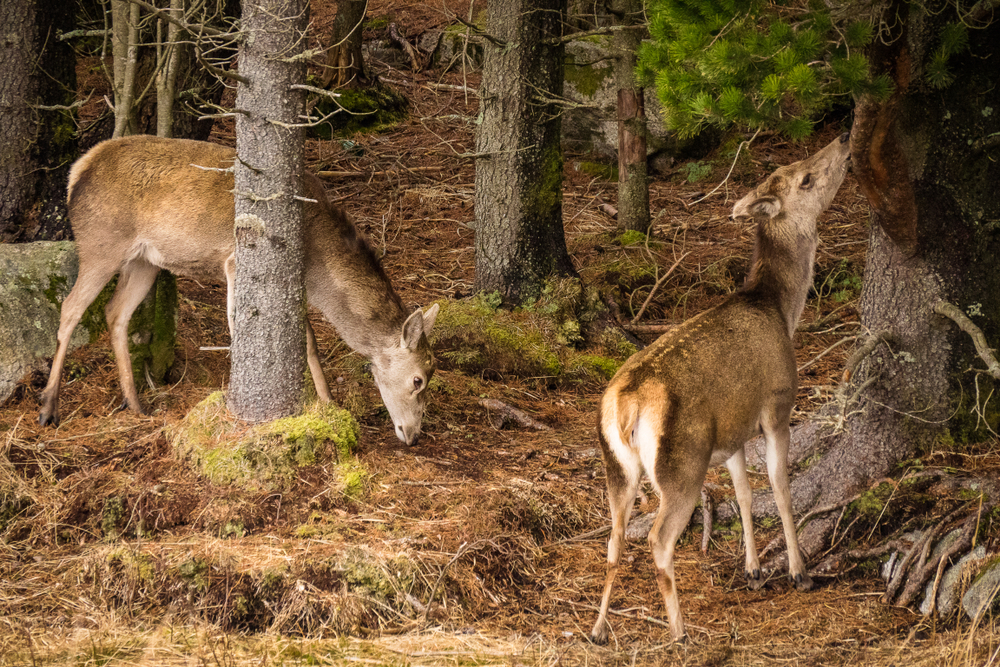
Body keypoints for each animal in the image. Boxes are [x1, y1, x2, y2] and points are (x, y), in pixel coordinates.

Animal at [37, 135, 439, 446]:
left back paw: (135, 403)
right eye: (418, 379)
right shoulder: (233, 262)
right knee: (70, 308)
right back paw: (48, 407)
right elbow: (239, 328)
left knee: (115, 312)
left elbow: (309, 341)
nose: (413, 435)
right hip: (101, 241)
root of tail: (77, 170)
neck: (316, 258)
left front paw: (328, 404)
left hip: (145, 261)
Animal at [589, 132, 852, 644]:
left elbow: (744, 493)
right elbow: (780, 487)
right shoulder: (776, 405)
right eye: (805, 178)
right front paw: (798, 572)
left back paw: (597, 628)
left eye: (797, 167)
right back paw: (679, 631)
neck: (780, 309)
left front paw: (752, 570)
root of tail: (626, 404)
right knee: (658, 540)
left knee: (613, 539)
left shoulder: (732, 429)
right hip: (682, 463)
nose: (845, 138)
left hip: (618, 465)